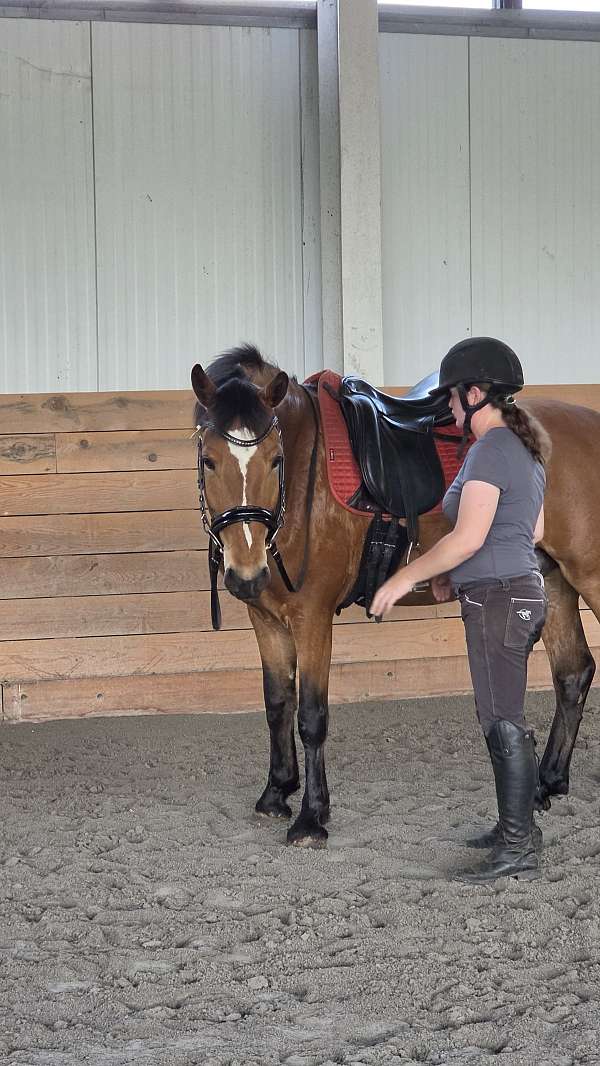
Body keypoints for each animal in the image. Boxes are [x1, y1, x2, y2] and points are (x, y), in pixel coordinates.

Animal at [191, 345, 599, 848]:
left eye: (274, 459)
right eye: (209, 460)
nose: (246, 573)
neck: (306, 481)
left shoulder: (312, 618)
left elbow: (311, 716)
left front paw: (311, 817)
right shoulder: (265, 619)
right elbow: (276, 704)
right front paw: (276, 791)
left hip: (589, 575)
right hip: (555, 580)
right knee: (573, 674)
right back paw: (545, 783)